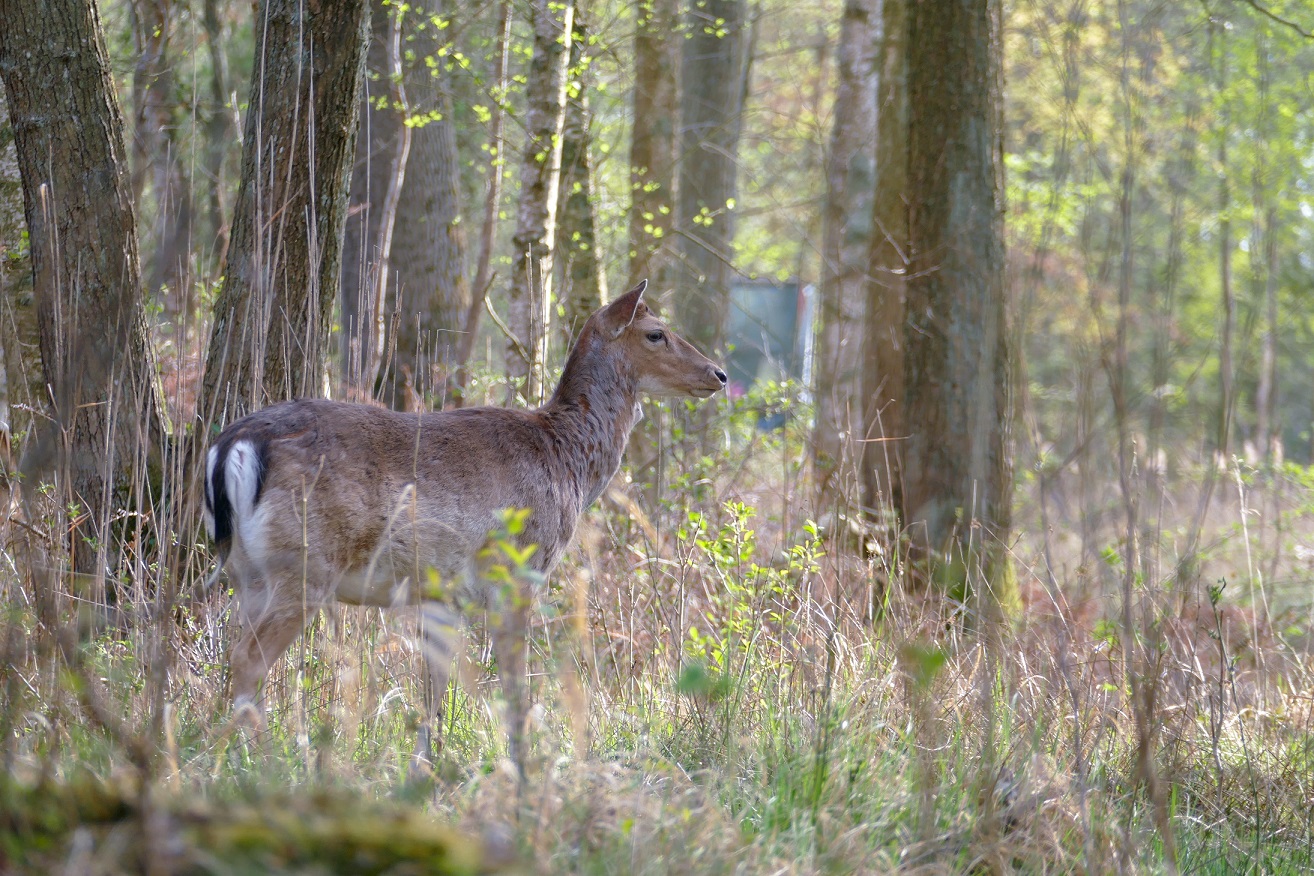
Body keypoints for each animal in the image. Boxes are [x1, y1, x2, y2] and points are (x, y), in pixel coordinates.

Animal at [202, 281, 730, 772]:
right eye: (656, 333)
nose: (719, 374)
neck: (569, 463)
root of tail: (232, 446)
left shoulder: (438, 593)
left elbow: (432, 689)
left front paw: (424, 768)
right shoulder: (518, 570)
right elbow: (515, 686)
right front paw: (523, 769)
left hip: (246, 571)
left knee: (233, 653)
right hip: (305, 564)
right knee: (248, 659)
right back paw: (265, 762)